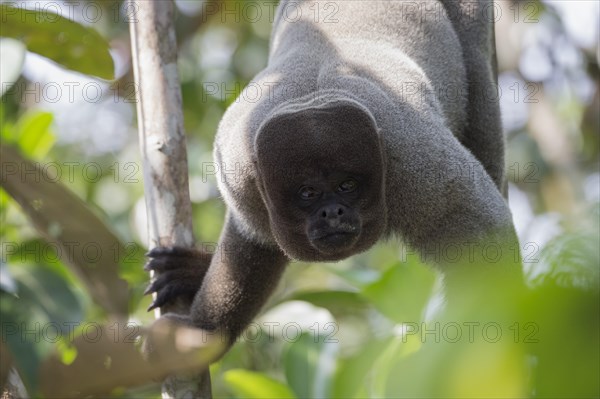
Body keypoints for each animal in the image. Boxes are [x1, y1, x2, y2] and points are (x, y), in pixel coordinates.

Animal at [144, 0, 520, 356]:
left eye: (347, 186)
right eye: (307, 193)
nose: (333, 212)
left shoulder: (419, 165)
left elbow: (487, 251)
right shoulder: (239, 176)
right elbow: (253, 246)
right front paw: (200, 334)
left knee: (478, 76)